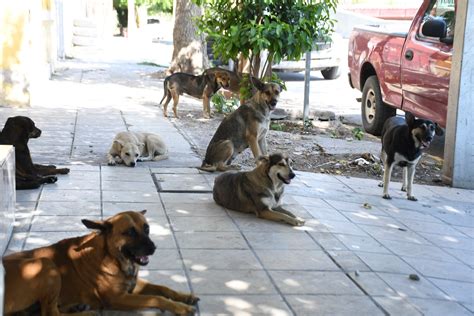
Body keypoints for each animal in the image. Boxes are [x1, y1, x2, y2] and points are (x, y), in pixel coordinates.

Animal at [2, 210, 198, 316]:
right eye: (130, 232)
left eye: (147, 228)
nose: (153, 248)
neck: (113, 257)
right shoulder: (118, 298)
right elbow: (156, 298)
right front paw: (181, 308)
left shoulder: (132, 286)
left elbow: (161, 288)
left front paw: (183, 296)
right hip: (46, 264)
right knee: (50, 314)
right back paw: (86, 312)